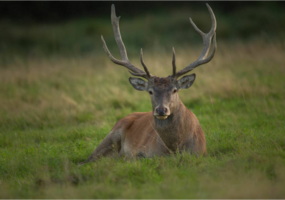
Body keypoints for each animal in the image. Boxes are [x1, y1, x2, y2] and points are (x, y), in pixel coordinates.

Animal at [79, 3, 216, 165]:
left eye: (175, 90)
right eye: (150, 91)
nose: (161, 110)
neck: (175, 148)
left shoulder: (202, 152)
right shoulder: (142, 152)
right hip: (112, 134)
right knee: (89, 158)